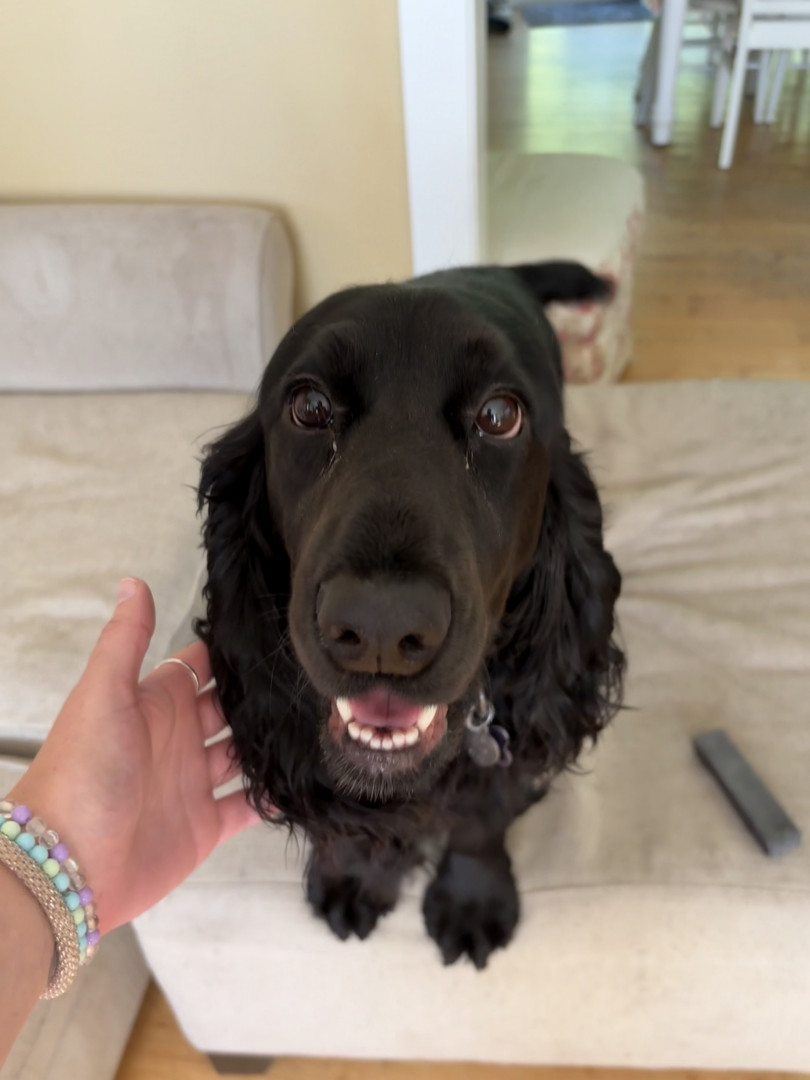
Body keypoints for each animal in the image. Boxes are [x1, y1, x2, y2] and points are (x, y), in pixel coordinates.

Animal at [197, 260, 625, 968]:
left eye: (499, 415)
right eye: (309, 407)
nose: (381, 625)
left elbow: (479, 819)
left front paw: (473, 898)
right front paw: (353, 878)